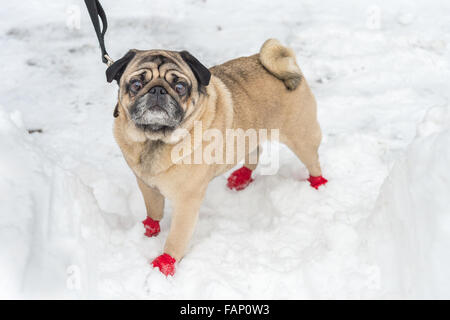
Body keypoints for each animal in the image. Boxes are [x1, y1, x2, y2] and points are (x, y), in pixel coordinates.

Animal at [107, 39, 328, 276]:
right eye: (136, 84)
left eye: (180, 87)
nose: (158, 90)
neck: (154, 139)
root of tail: (288, 67)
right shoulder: (148, 186)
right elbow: (154, 213)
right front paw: (148, 232)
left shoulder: (186, 202)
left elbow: (176, 238)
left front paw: (164, 265)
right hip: (249, 135)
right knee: (255, 153)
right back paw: (241, 178)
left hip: (301, 136)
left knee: (313, 162)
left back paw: (318, 184)